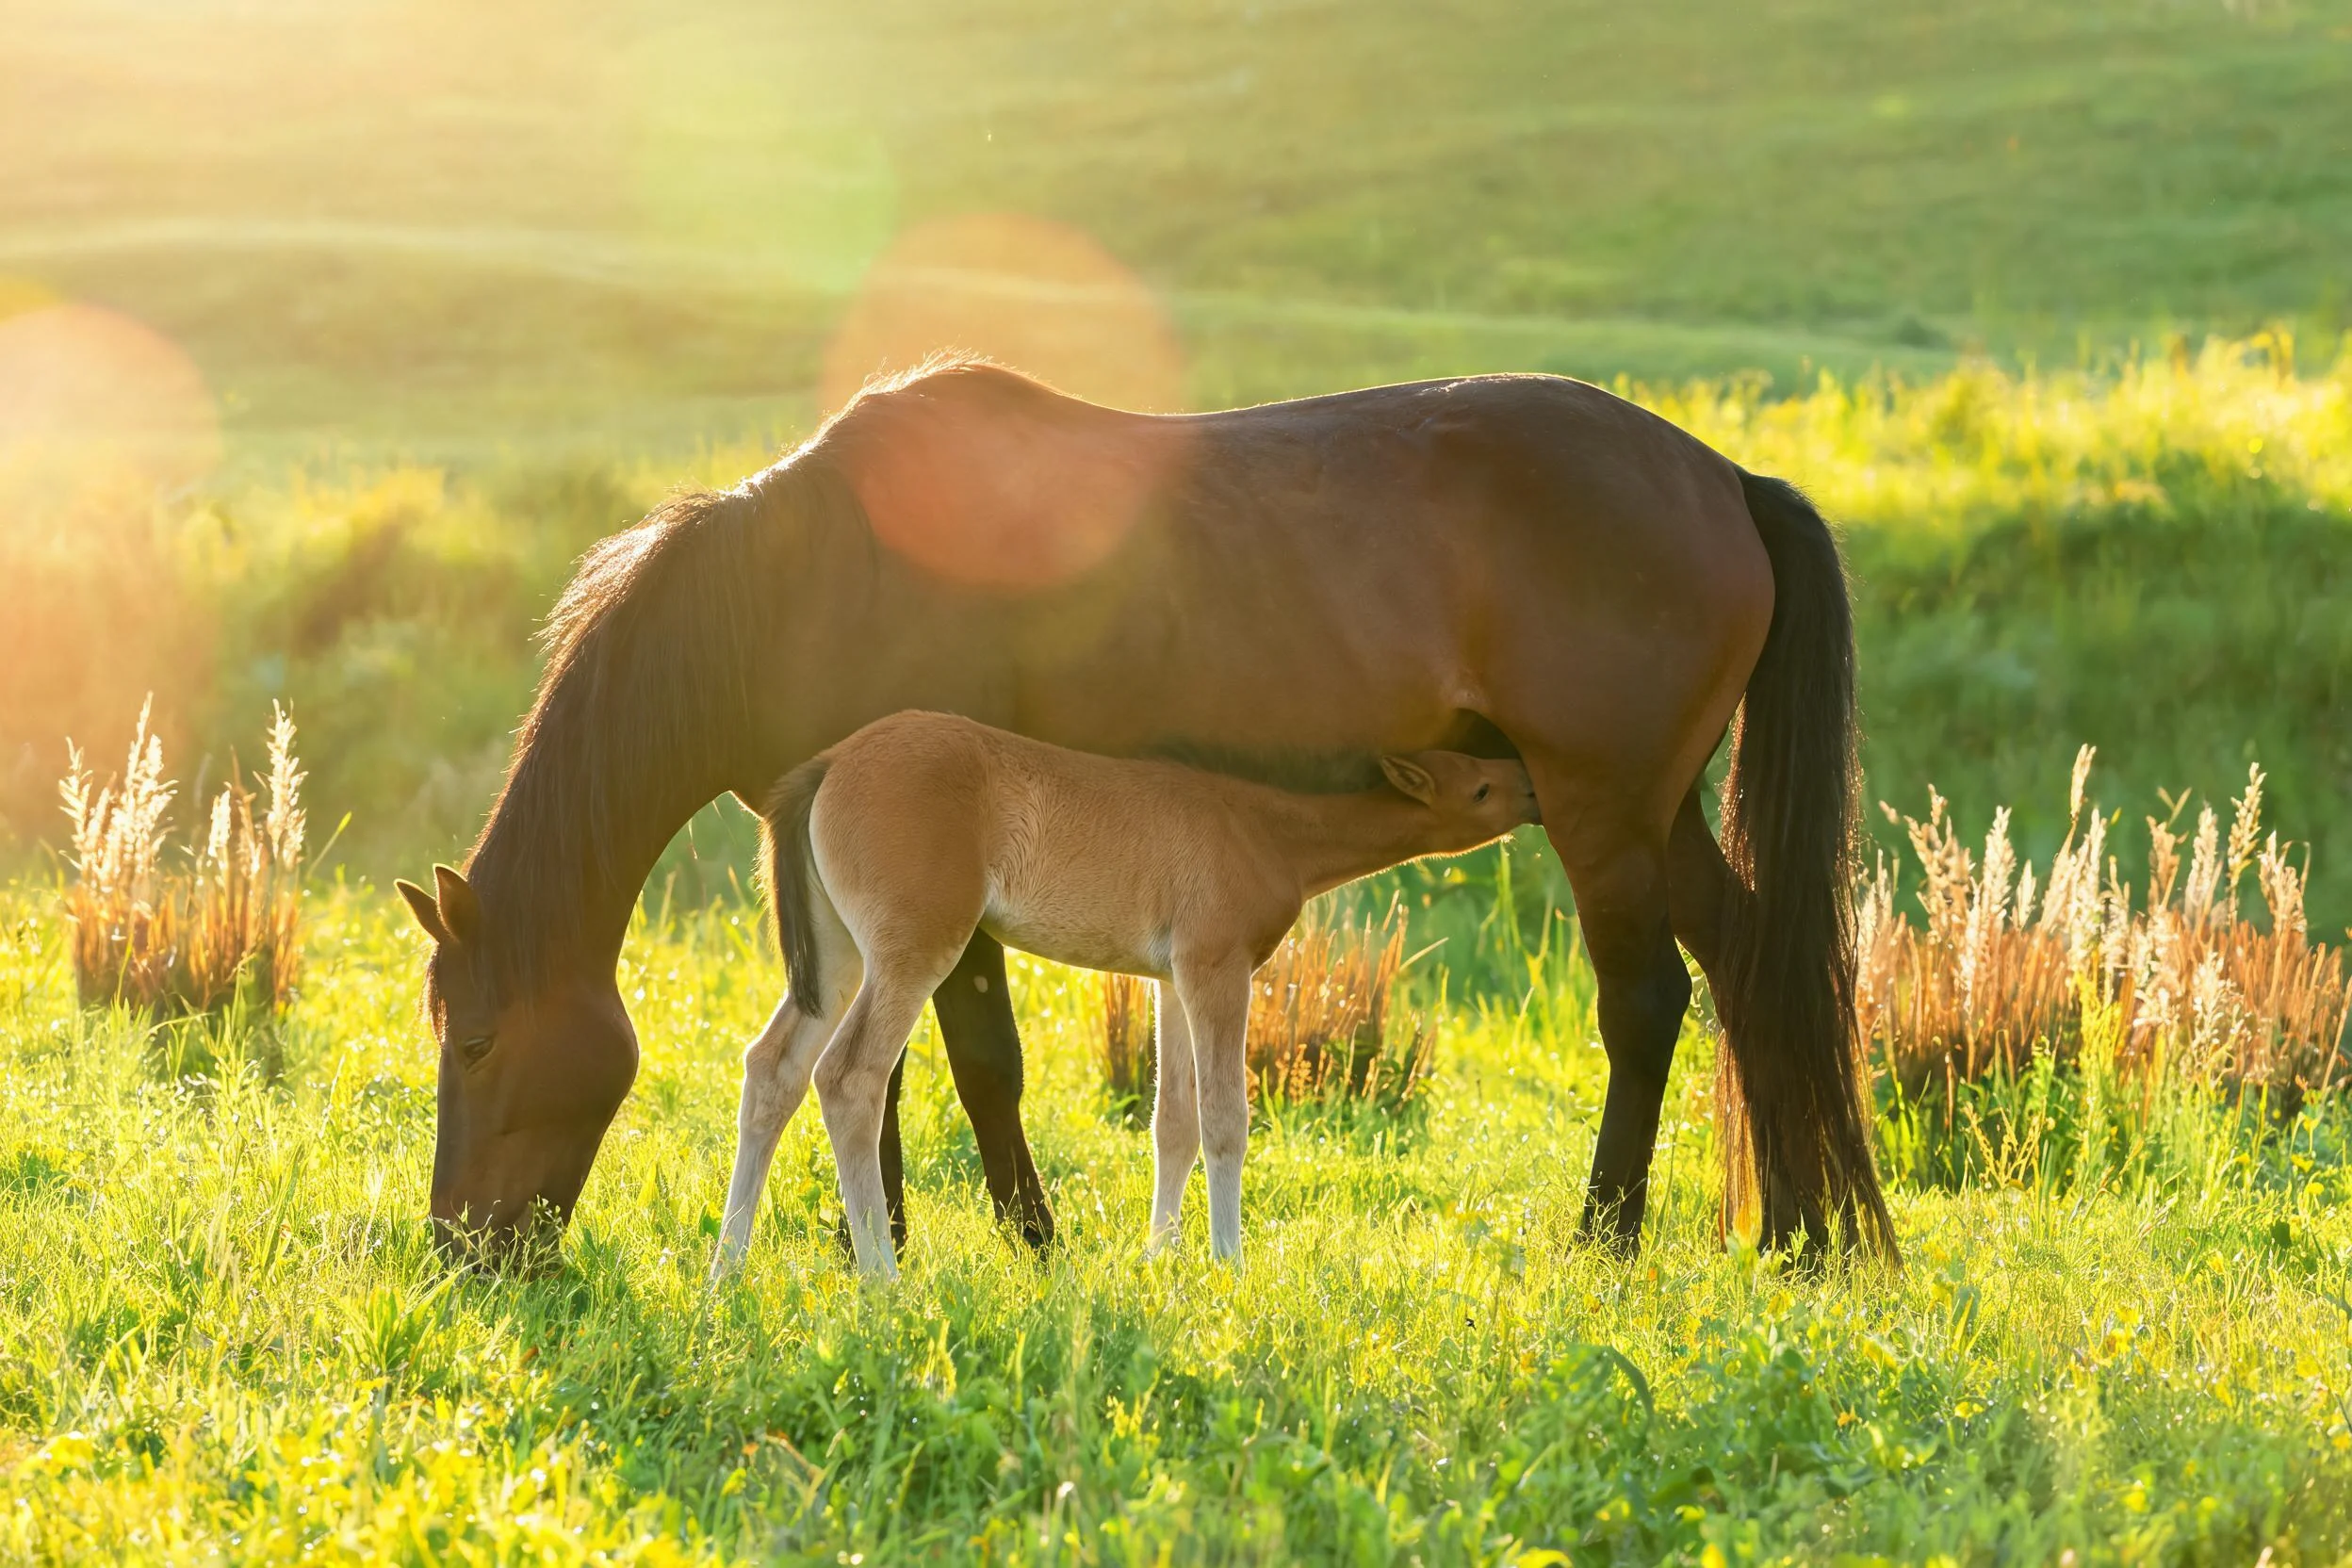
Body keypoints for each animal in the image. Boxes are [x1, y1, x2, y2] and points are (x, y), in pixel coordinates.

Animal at [709, 711, 1541, 1279]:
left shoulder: (1172, 981)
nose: (1536, 789)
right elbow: (1224, 1121)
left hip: (839, 957)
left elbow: (1171, 1123)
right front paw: (1229, 1266)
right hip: (912, 951)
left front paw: (1159, 1260)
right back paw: (882, 1280)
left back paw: (726, 1270)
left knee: (773, 1069)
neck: (1261, 829)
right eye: (1482, 786)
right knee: (850, 1077)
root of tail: (828, 764)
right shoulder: (1218, 969)